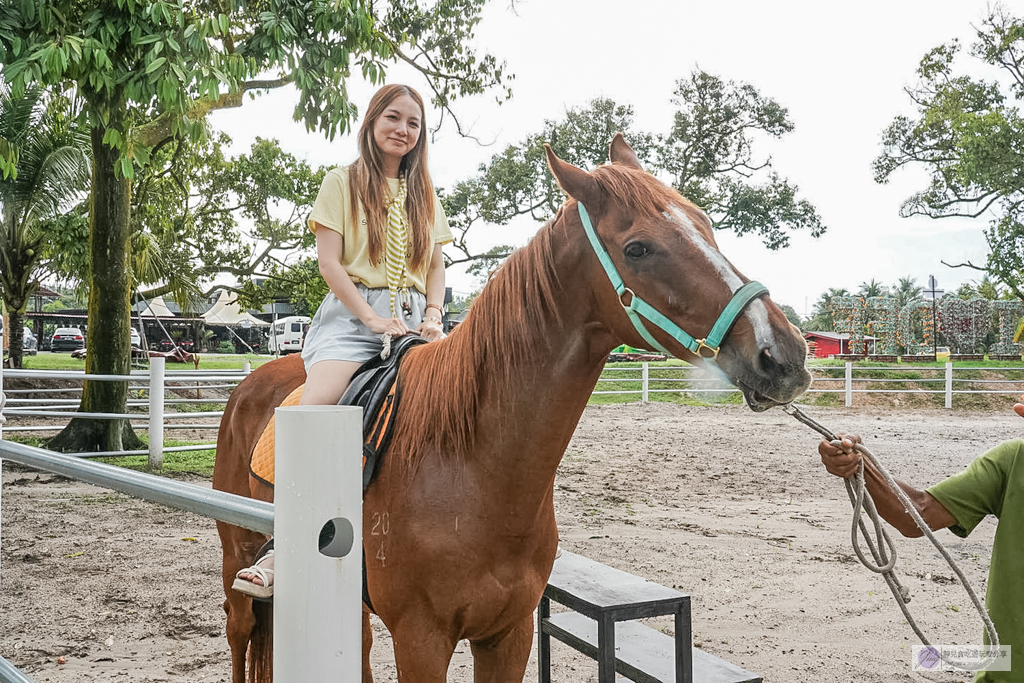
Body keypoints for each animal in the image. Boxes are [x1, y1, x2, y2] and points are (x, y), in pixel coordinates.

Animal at [212, 134, 812, 683]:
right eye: (639, 248)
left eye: (706, 225)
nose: (783, 353)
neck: (470, 465)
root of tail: (251, 383)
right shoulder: (421, 640)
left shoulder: (509, 632)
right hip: (237, 562)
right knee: (240, 633)